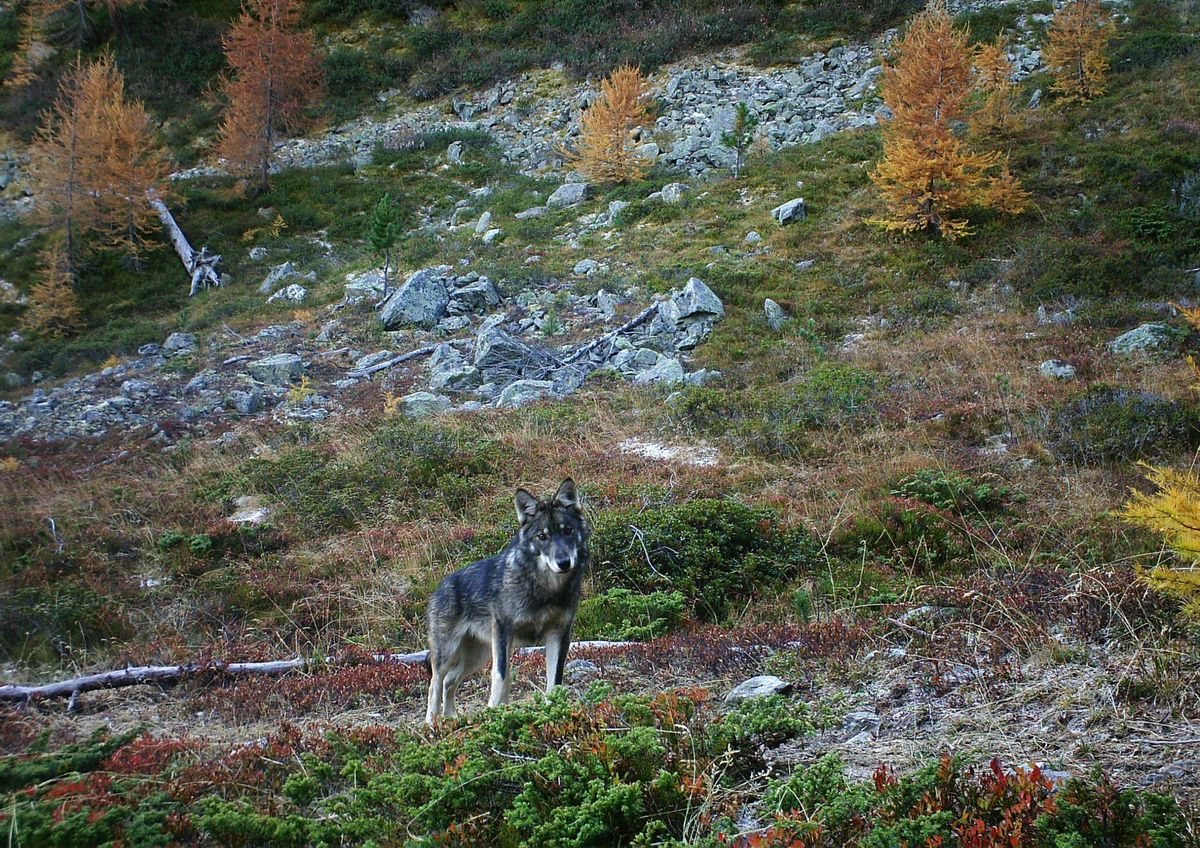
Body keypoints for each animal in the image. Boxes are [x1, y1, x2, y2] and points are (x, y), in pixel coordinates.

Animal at [425, 478, 590, 724]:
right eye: (542, 536)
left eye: (567, 531)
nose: (563, 562)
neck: (545, 589)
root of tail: (441, 586)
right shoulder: (504, 631)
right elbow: (502, 677)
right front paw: (495, 713)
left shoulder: (559, 634)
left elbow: (555, 681)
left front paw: (553, 713)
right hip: (449, 653)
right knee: (434, 684)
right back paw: (431, 725)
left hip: (476, 657)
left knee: (448, 682)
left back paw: (452, 719)